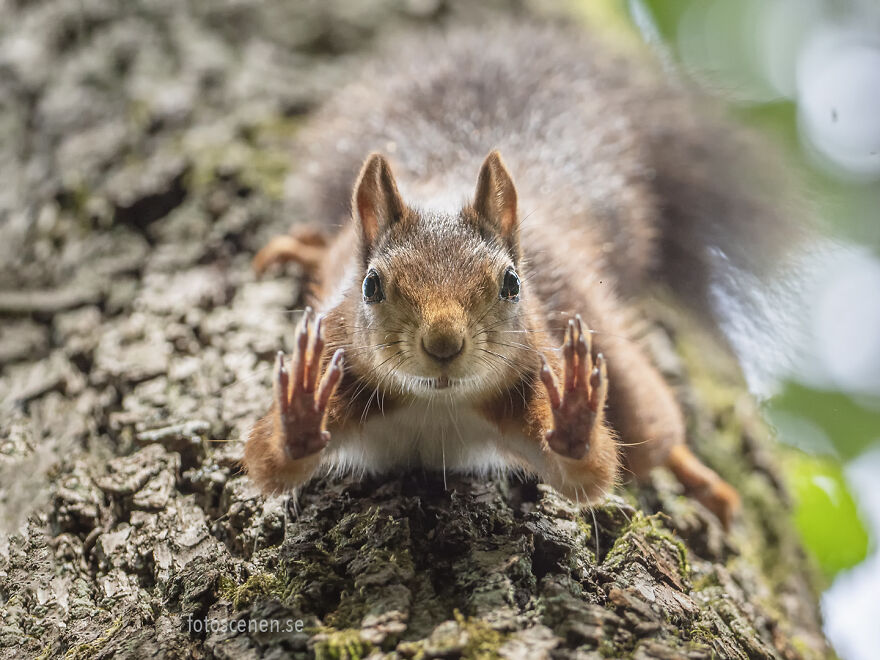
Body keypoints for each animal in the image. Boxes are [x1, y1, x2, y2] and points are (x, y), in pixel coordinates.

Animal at [243, 21, 804, 528]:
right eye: (371, 285)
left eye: (512, 284)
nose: (443, 345)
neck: (435, 404)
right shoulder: (340, 368)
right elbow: (267, 460)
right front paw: (299, 412)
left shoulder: (533, 377)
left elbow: (591, 472)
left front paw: (575, 417)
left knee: (653, 430)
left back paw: (696, 474)